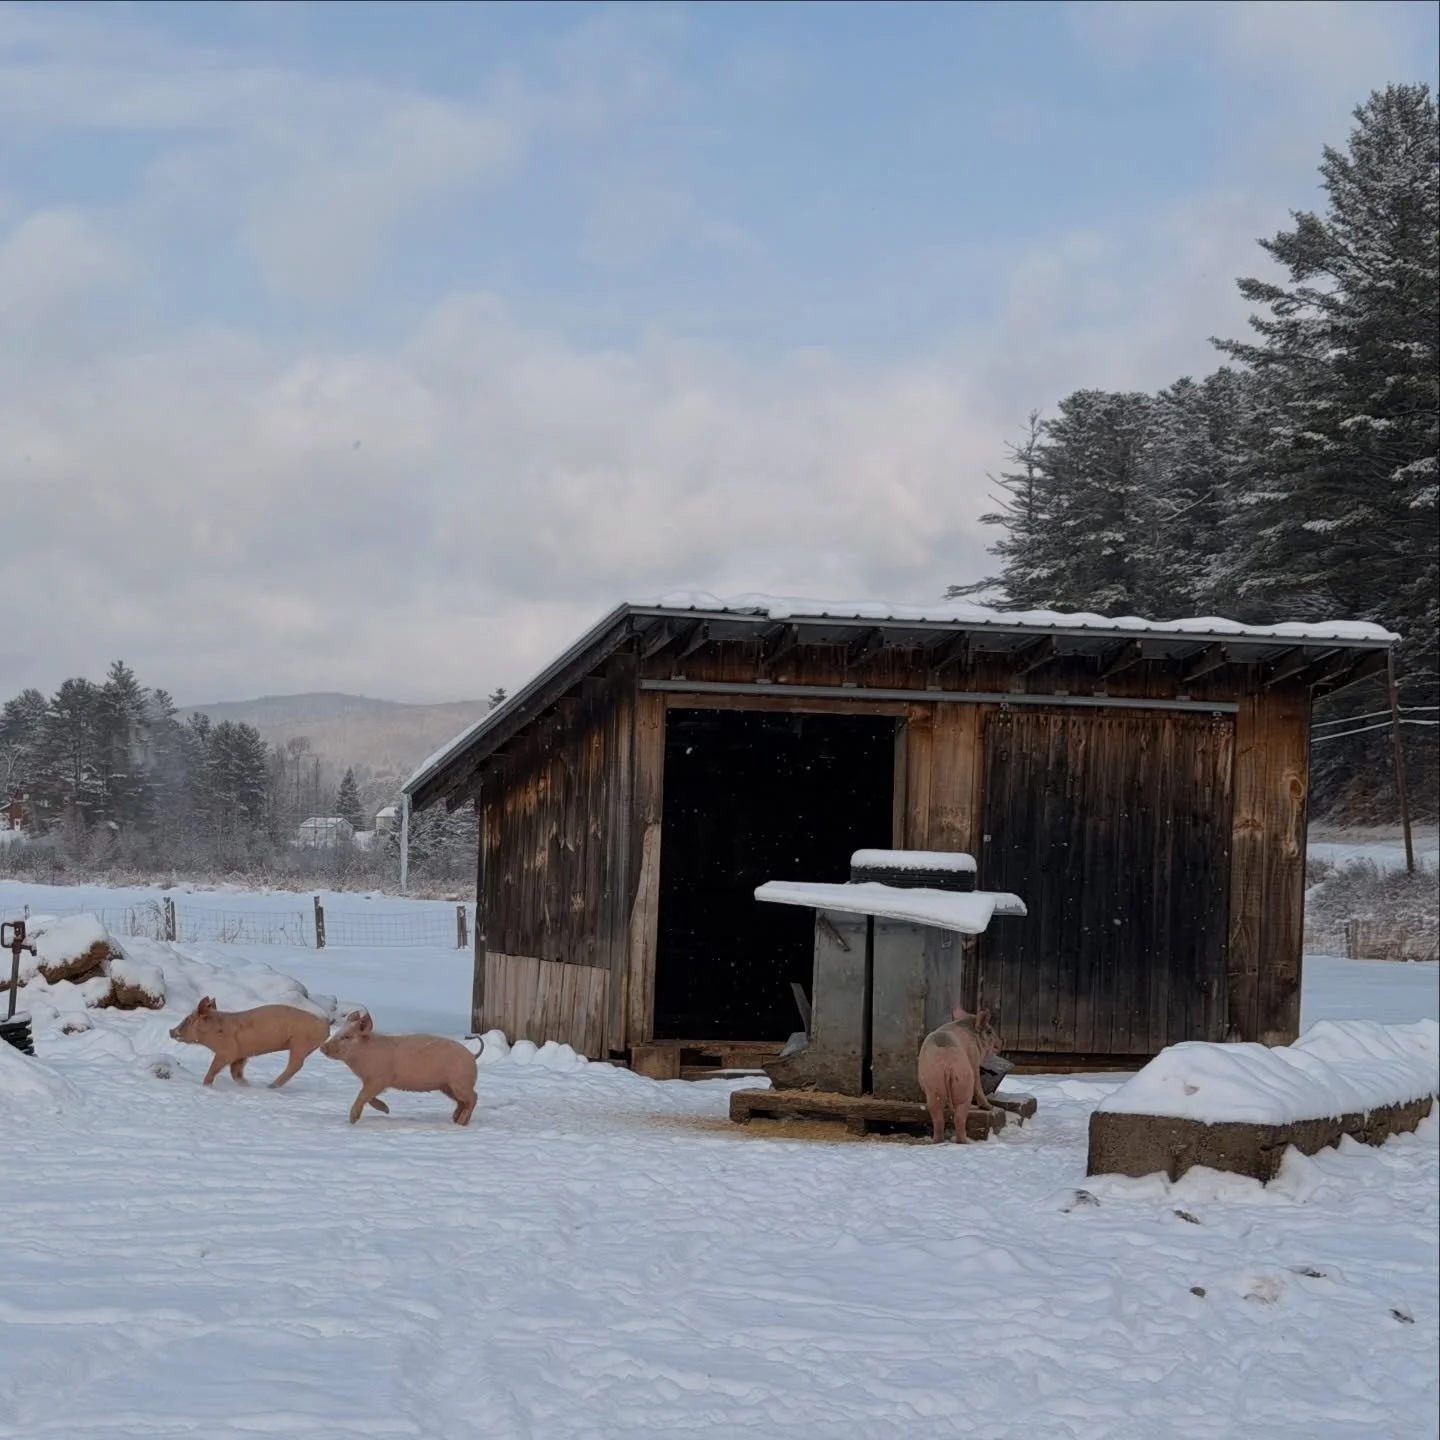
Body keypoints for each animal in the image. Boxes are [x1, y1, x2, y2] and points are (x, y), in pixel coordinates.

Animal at [169, 997, 330, 1089]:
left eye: (188, 1019)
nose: (171, 1031)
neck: (213, 1031)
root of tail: (325, 1026)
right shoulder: (241, 1054)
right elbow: (236, 1072)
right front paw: (246, 1085)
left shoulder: (227, 1051)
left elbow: (214, 1069)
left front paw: (205, 1085)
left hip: (300, 1043)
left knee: (296, 1065)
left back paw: (271, 1086)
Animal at [320, 1010, 478, 1126]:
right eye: (337, 1033)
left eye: (346, 1037)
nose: (322, 1047)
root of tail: (472, 1056)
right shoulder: (371, 1081)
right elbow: (368, 1097)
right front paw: (387, 1110)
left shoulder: (378, 1079)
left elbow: (363, 1096)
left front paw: (352, 1121)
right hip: (447, 1087)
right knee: (462, 1101)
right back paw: (455, 1119)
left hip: (460, 1082)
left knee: (473, 1097)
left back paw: (461, 1122)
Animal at [917, 1007, 1002, 1144]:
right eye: (989, 1031)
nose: (1001, 1043)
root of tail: (948, 1063)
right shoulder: (974, 1058)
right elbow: (978, 1083)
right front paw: (990, 1107)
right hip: (964, 1078)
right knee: (960, 1116)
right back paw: (965, 1141)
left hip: (935, 1081)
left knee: (939, 1115)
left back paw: (937, 1141)